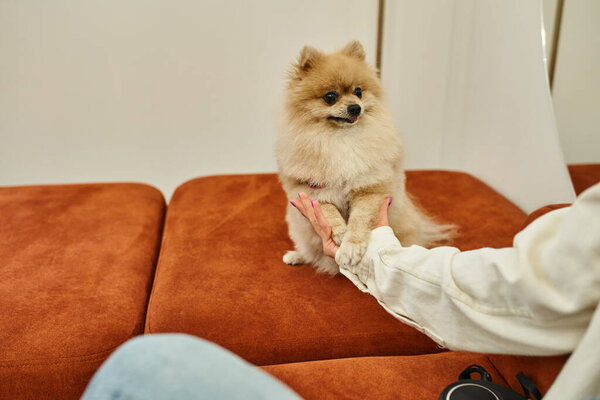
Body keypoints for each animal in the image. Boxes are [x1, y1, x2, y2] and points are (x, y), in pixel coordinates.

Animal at [276, 40, 450, 276]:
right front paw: (340, 233)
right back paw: (297, 256)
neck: (341, 138)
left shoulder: (369, 188)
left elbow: (359, 221)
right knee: (311, 251)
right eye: (330, 97)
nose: (355, 107)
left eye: (358, 92)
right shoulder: (312, 191)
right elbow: (329, 214)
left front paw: (350, 247)